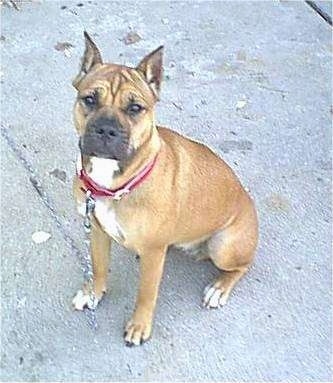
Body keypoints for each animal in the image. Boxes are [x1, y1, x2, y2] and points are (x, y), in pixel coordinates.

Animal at [70, 31, 258, 346]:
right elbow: (98, 267)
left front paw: (139, 326)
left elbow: (146, 294)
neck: (118, 184)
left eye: (135, 108)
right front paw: (93, 292)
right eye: (89, 100)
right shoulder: (97, 231)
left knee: (241, 266)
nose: (106, 129)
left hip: (224, 246)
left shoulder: (153, 254)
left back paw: (219, 287)